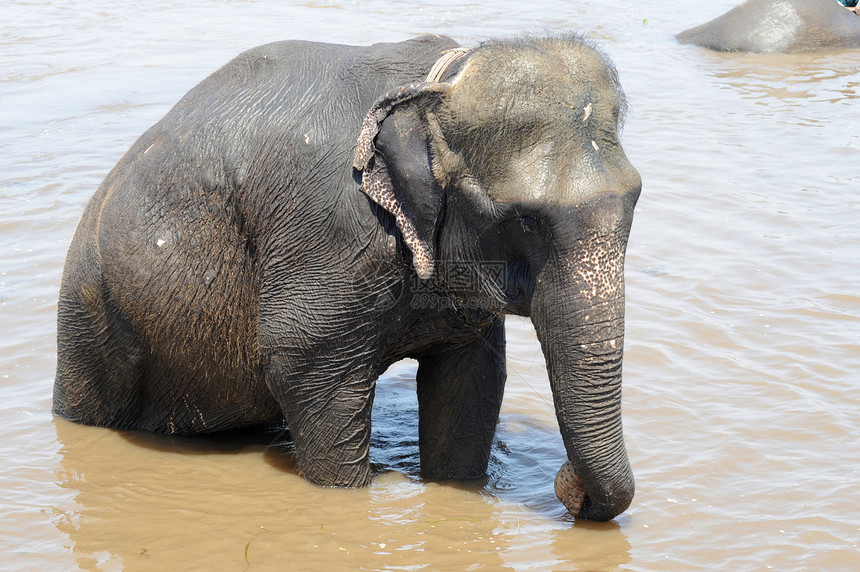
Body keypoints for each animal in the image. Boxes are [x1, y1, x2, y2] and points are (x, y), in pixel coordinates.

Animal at [53, 32, 640, 524]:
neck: (436, 86)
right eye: (523, 219)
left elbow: (470, 376)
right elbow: (305, 368)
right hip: (94, 316)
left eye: (635, 198)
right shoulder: (327, 229)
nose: (570, 489)